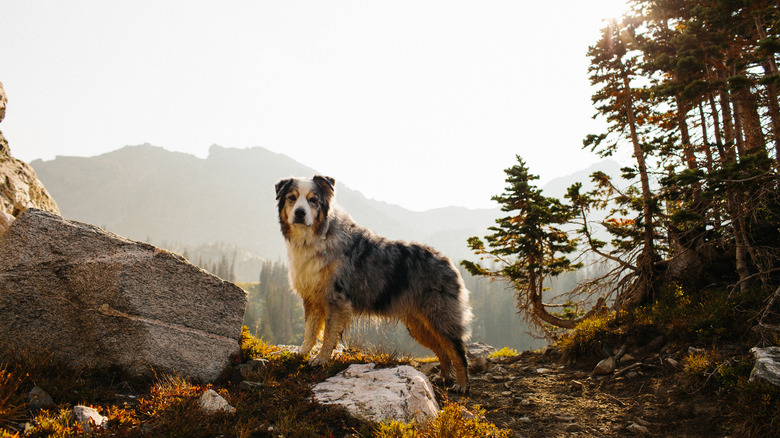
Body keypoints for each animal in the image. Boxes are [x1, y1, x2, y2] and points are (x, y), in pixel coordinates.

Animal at [278, 176, 472, 392]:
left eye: (313, 200)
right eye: (292, 198)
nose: (299, 213)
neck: (316, 236)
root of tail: (448, 262)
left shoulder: (336, 298)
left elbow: (328, 333)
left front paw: (321, 359)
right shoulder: (311, 297)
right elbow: (310, 330)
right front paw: (302, 353)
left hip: (440, 316)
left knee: (457, 350)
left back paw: (462, 385)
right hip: (419, 324)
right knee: (442, 350)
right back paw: (444, 377)